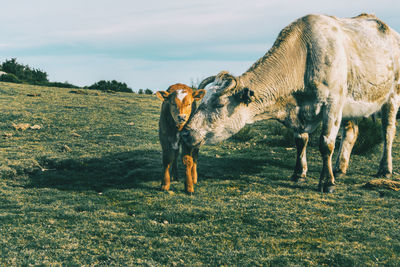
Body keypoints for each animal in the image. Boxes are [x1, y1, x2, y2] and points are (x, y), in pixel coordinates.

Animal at [180, 13, 400, 194]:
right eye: (201, 102)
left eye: (218, 104)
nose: (185, 133)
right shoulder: (300, 112)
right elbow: (300, 141)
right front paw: (298, 173)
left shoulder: (333, 103)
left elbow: (326, 144)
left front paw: (327, 182)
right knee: (351, 133)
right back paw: (339, 167)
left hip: (392, 97)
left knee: (388, 132)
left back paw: (384, 169)